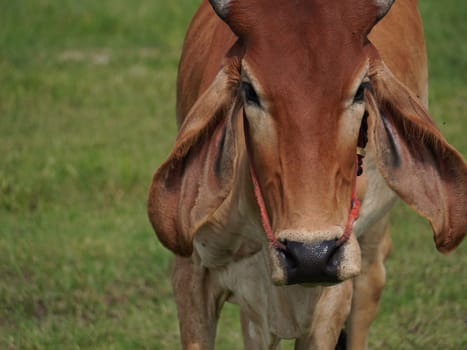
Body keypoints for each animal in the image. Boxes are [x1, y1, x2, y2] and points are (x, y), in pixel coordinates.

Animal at [147, 0, 467, 348]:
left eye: (361, 89)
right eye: (249, 90)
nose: (311, 255)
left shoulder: (332, 296)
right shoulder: (192, 272)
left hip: (369, 245)